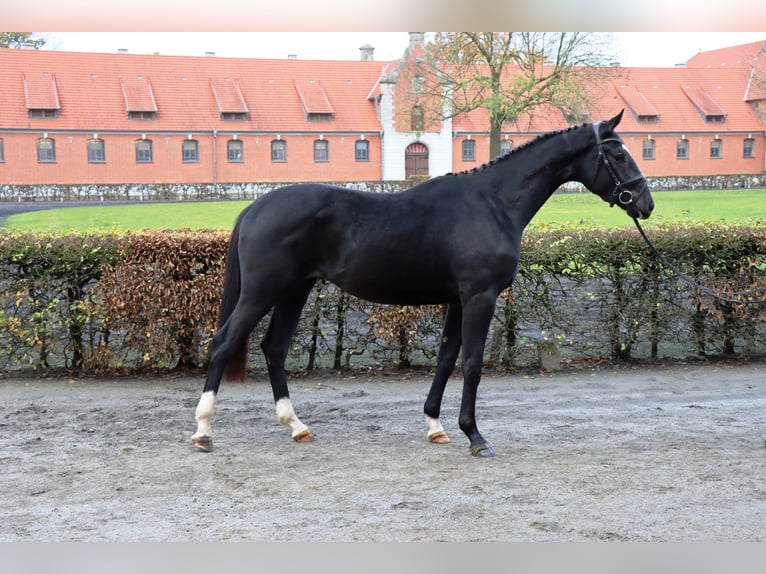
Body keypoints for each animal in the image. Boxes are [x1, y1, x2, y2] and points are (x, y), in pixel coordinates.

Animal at [190, 109, 656, 460]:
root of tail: (255, 206)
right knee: (224, 342)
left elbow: (447, 359)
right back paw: (204, 431)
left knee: (274, 349)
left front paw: (436, 424)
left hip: (294, 291)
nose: (645, 203)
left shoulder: (458, 300)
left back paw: (296, 425)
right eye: (617, 154)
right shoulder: (479, 297)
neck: (492, 203)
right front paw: (475, 436)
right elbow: (472, 364)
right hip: (262, 292)